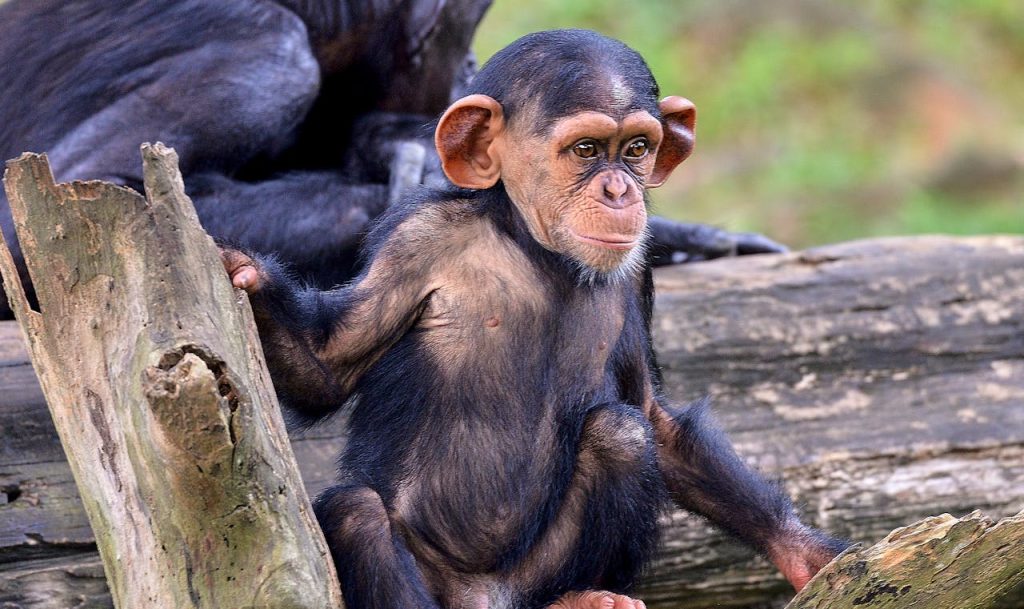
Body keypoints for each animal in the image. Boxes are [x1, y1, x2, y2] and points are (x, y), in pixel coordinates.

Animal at [220, 29, 846, 609]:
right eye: (587, 150)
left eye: (637, 148)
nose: (619, 190)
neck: (535, 249)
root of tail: (482, 598)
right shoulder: (415, 243)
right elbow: (327, 362)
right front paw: (243, 271)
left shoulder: (638, 272)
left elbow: (653, 417)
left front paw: (806, 552)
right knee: (356, 512)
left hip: (528, 580)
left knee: (620, 434)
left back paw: (581, 596)